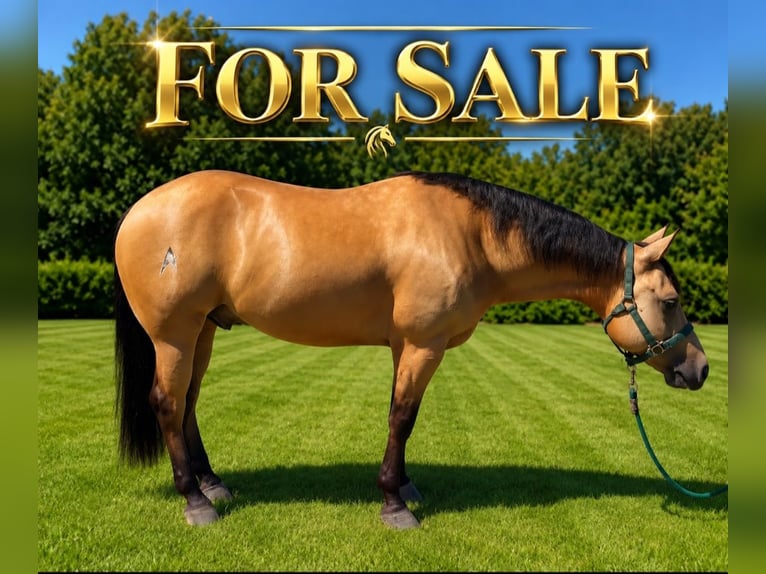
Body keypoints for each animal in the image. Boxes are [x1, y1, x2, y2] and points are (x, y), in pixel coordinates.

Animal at [113, 170, 708, 529]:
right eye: (672, 301)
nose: (701, 369)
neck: (471, 235)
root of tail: (138, 211)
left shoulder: (407, 345)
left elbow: (403, 416)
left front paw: (403, 485)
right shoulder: (424, 343)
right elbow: (402, 417)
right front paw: (394, 505)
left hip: (204, 331)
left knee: (188, 404)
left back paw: (213, 486)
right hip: (174, 334)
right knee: (167, 404)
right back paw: (195, 501)